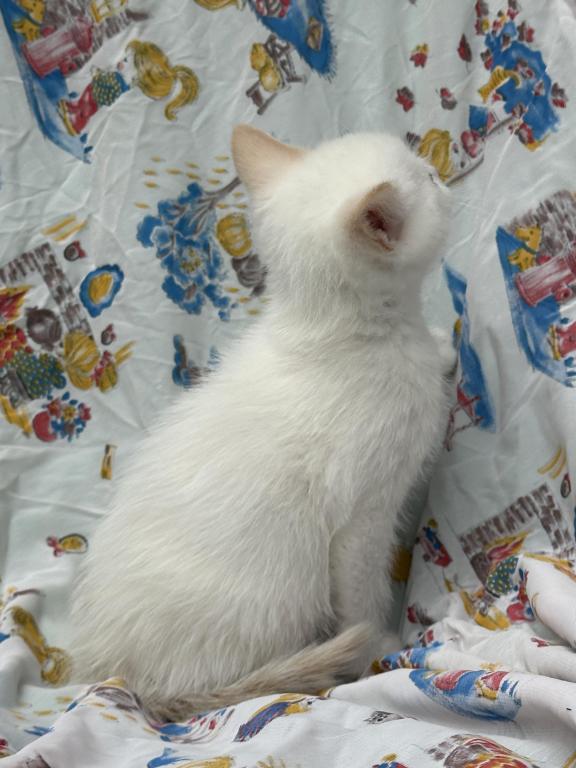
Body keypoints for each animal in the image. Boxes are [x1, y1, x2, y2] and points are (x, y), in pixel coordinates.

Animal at [71, 125, 454, 721]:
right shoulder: (363, 518)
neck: (343, 335)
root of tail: (120, 680)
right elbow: (362, 596)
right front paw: (384, 647)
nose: (446, 174)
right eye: (428, 180)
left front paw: (442, 348)